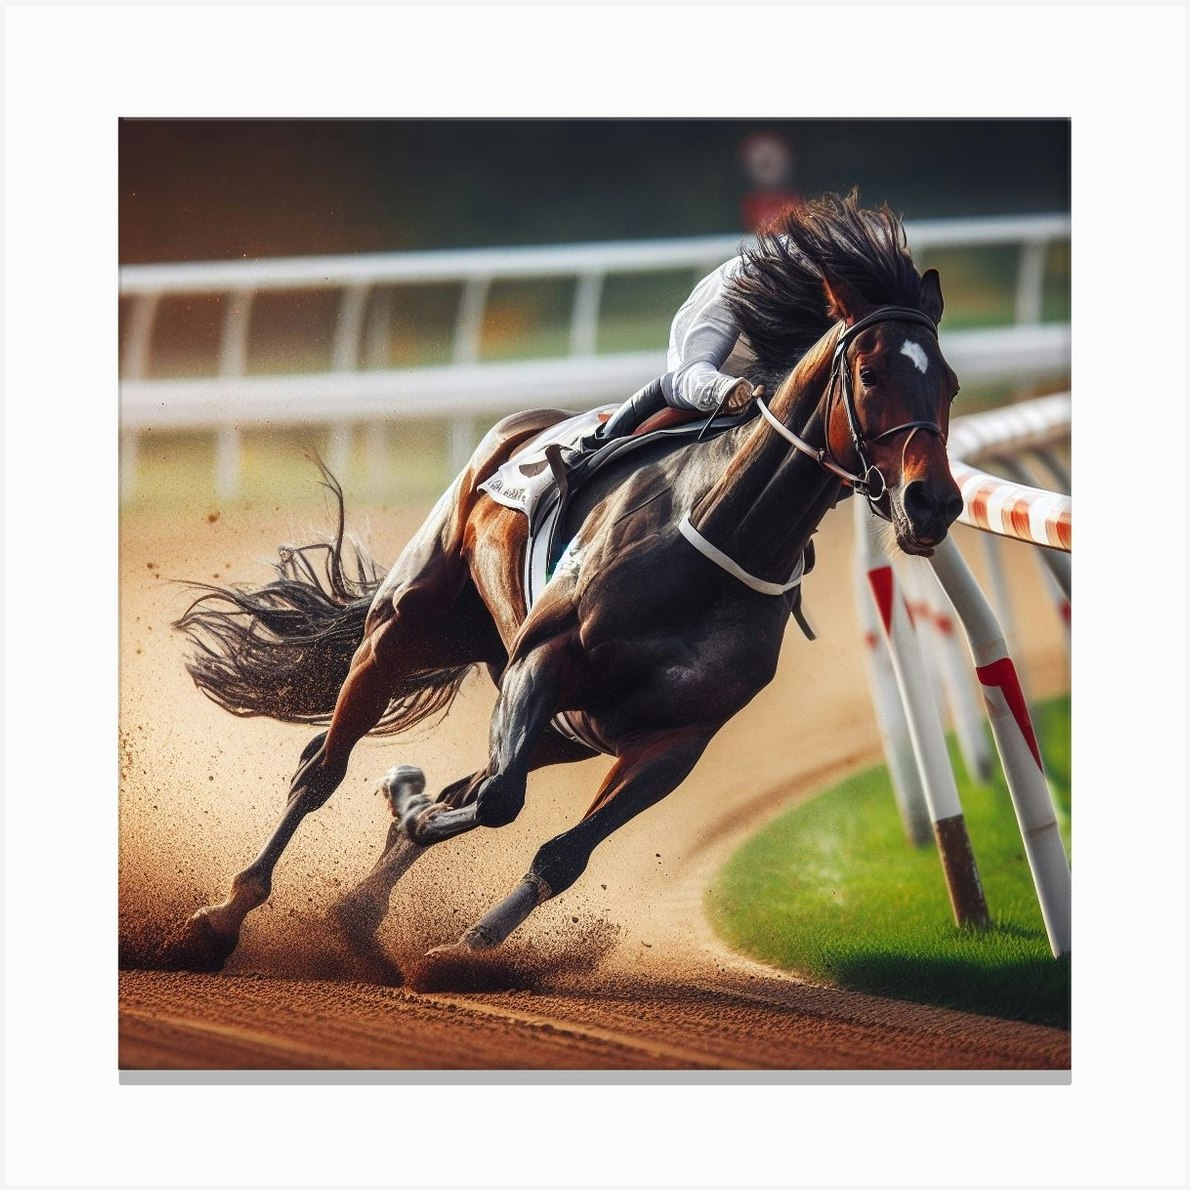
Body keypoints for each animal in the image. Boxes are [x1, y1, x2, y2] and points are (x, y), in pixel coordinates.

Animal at [169, 193, 963, 976]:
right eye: (869, 375)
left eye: (949, 384)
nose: (933, 502)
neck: (718, 533)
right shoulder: (543, 660)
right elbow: (498, 800)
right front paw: (413, 817)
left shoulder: (674, 739)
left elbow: (558, 850)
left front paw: (466, 945)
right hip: (405, 629)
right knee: (322, 769)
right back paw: (221, 917)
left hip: (562, 725)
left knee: (457, 783)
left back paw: (361, 908)